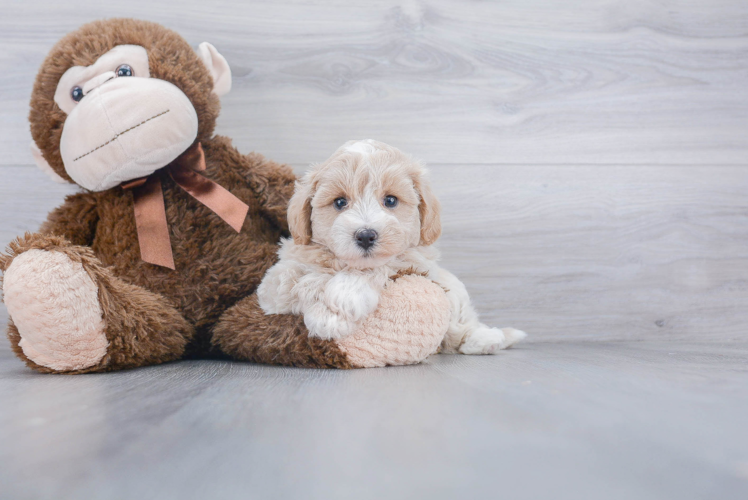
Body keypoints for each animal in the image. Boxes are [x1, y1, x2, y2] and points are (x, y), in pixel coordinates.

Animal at [258, 139, 524, 354]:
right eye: (340, 202)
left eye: (390, 200)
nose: (366, 236)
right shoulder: (275, 284)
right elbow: (291, 281)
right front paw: (321, 301)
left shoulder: (414, 262)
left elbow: (378, 267)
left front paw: (339, 302)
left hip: (454, 292)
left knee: (462, 325)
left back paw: (486, 339)